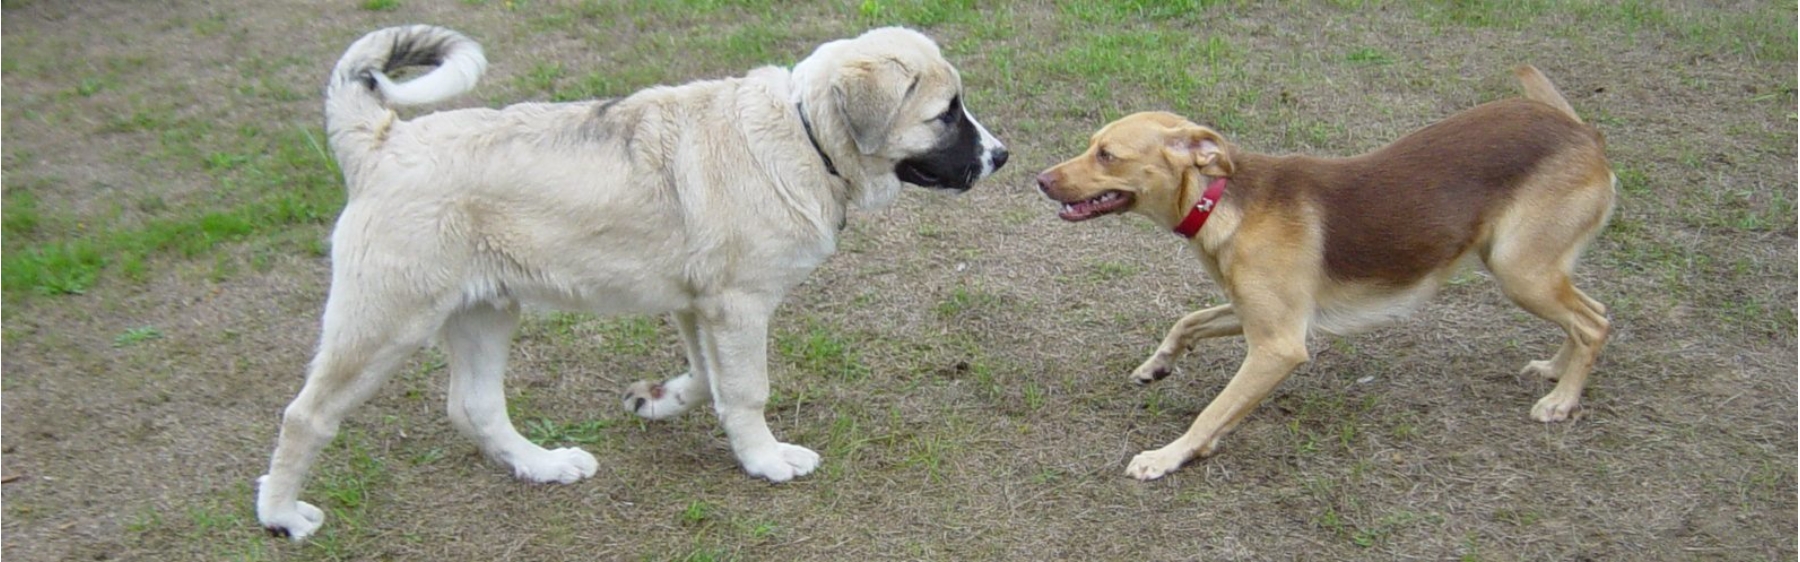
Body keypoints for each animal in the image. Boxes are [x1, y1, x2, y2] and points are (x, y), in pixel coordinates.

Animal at [259, 25, 1008, 540]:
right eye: (947, 113)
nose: (1002, 156)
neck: (802, 136)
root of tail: (380, 139)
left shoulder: (698, 306)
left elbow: (707, 379)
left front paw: (657, 401)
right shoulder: (738, 308)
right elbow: (747, 391)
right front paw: (766, 460)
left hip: (486, 310)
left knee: (473, 405)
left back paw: (543, 466)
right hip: (387, 319)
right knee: (307, 414)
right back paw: (281, 513)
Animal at [1044, 65, 1620, 479]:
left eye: (1107, 154)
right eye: (1092, 144)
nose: (1040, 179)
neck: (1222, 198)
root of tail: (1584, 132)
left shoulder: (1278, 345)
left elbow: (1213, 408)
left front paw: (1169, 456)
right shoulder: (1255, 314)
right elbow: (1187, 323)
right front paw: (1157, 366)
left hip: (1520, 270)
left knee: (1593, 323)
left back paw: (1561, 401)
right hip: (1533, 269)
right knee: (1589, 315)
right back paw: (1556, 370)